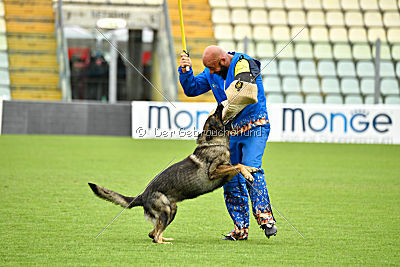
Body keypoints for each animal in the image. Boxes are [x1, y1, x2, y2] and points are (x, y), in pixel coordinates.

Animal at [88, 105, 258, 245]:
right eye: (215, 115)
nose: (220, 104)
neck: (214, 142)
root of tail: (143, 195)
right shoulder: (214, 172)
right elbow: (237, 165)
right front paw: (248, 174)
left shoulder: (226, 171)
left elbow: (239, 165)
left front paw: (251, 169)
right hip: (166, 210)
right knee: (154, 237)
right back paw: (164, 242)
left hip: (172, 209)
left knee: (152, 233)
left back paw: (165, 238)